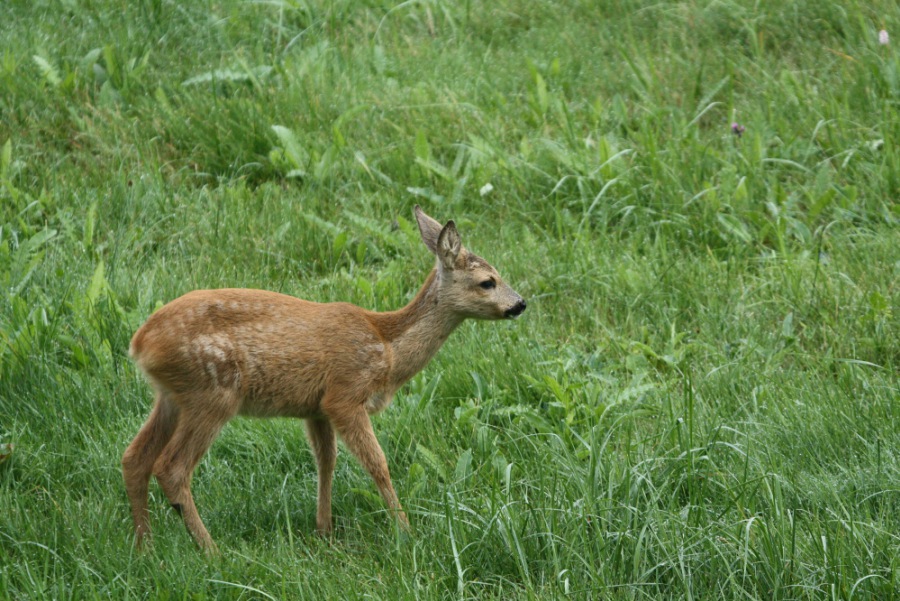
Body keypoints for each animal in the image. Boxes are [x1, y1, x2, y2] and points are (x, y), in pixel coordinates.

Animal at [122, 205, 526, 553]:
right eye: (488, 282)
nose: (520, 304)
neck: (387, 348)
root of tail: (140, 343)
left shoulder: (315, 408)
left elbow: (326, 461)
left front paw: (324, 531)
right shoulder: (345, 394)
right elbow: (378, 464)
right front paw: (405, 530)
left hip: (172, 397)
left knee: (134, 457)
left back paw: (145, 548)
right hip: (213, 392)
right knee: (171, 468)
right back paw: (211, 552)